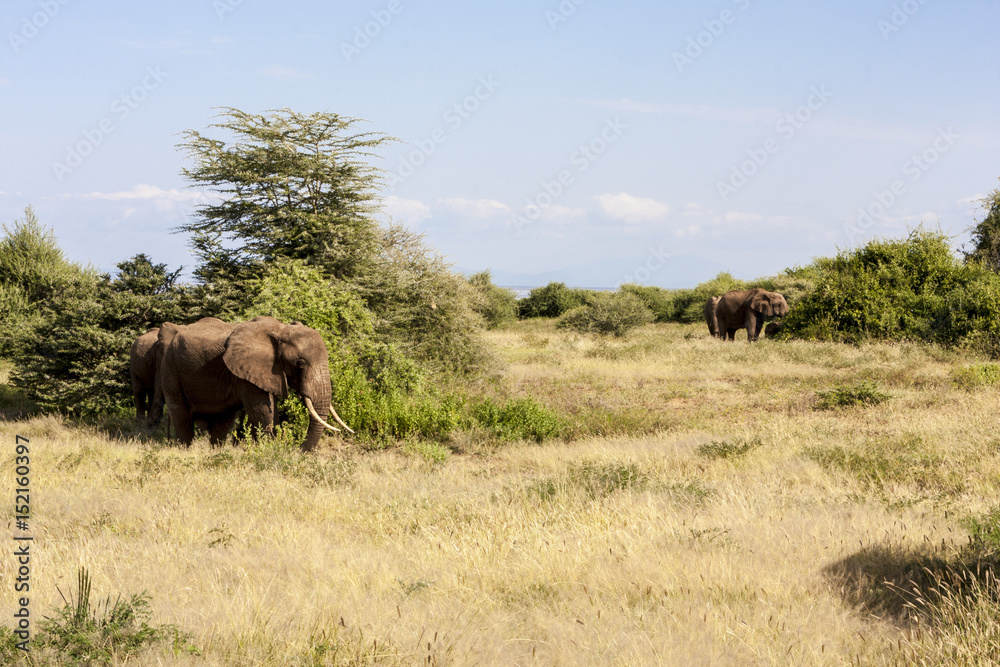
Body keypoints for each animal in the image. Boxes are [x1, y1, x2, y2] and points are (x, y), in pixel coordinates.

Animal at [158, 316, 354, 452]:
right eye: (300, 364)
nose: (297, 450)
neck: (281, 330)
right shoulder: (246, 372)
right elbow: (263, 412)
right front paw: (268, 450)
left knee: (222, 421)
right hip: (170, 369)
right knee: (181, 415)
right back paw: (185, 451)